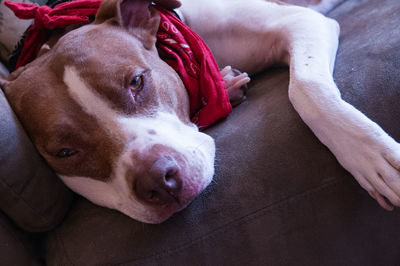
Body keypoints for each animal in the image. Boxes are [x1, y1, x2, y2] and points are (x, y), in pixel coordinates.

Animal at [0, 0, 400, 223]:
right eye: (65, 152)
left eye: (136, 82)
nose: (159, 182)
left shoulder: (299, 22)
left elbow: (304, 85)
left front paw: (370, 155)